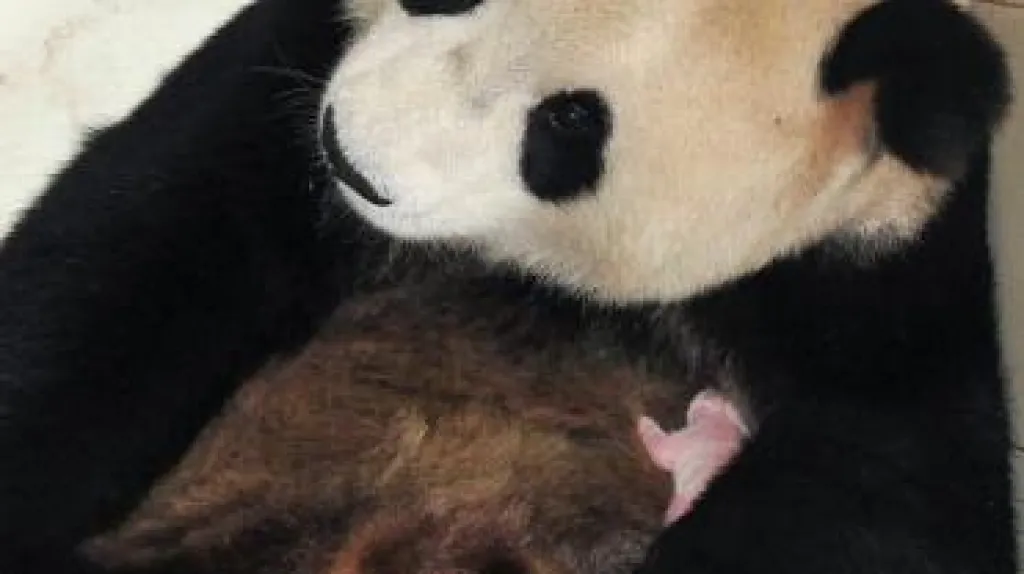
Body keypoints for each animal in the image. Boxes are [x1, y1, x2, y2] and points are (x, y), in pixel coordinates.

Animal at [0, 0, 1014, 573]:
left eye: (568, 124)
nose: (349, 151)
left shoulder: (884, 272)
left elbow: (892, 480)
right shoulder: (295, 78)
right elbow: (136, 252)